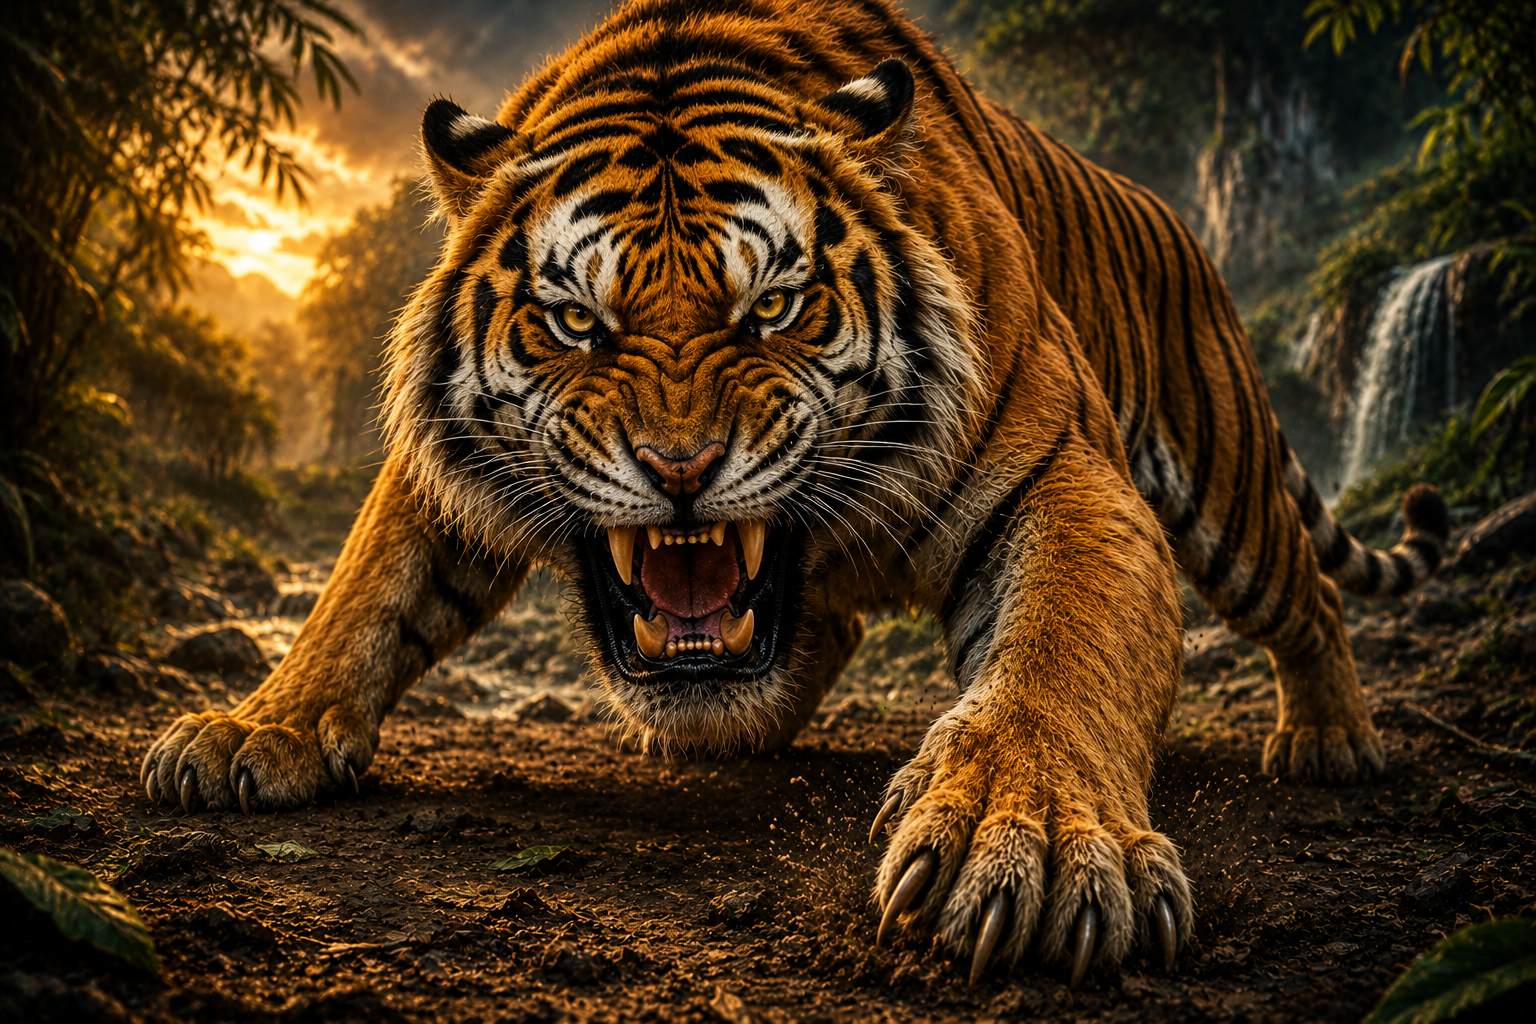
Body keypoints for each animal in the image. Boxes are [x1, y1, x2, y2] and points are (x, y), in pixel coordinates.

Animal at [138, 0, 1448, 985]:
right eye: (576, 321)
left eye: (770, 307)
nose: (678, 468)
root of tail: (1171, 212)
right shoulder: (437, 474)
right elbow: (361, 594)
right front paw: (252, 731)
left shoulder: (1066, 475)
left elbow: (1060, 654)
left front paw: (1029, 842)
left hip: (1230, 490)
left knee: (1310, 598)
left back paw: (1332, 739)